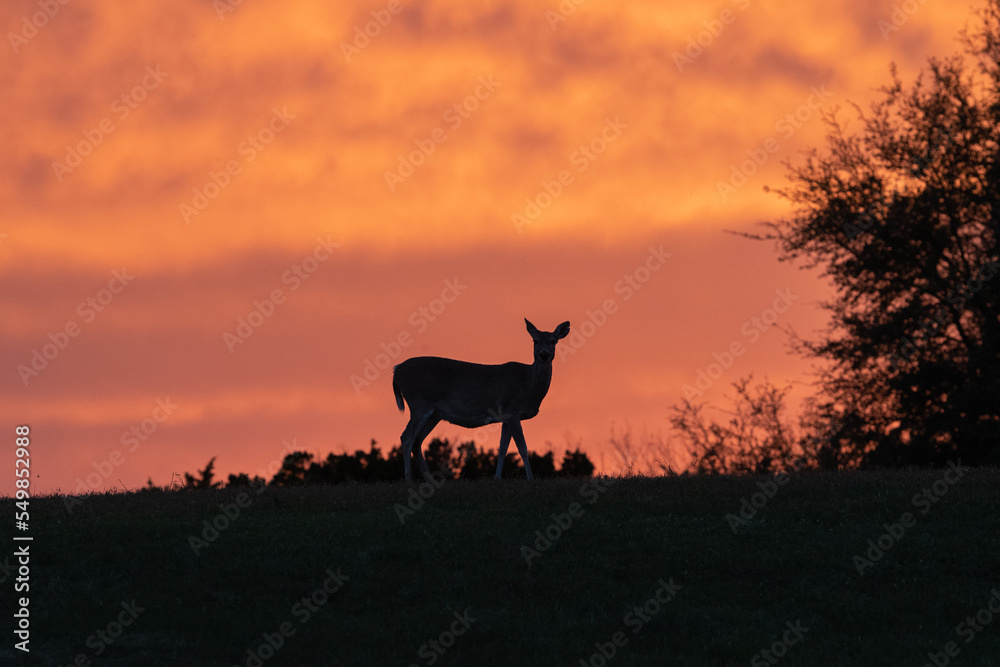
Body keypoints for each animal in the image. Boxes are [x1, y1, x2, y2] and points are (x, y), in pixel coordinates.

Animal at [392, 319, 571, 482]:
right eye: (535, 341)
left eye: (553, 341)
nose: (544, 354)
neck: (527, 384)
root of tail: (396, 370)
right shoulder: (511, 411)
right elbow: (523, 447)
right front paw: (531, 478)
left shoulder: (506, 416)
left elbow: (502, 447)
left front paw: (497, 478)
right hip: (419, 404)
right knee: (406, 438)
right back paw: (408, 479)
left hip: (434, 413)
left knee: (417, 441)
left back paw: (429, 479)